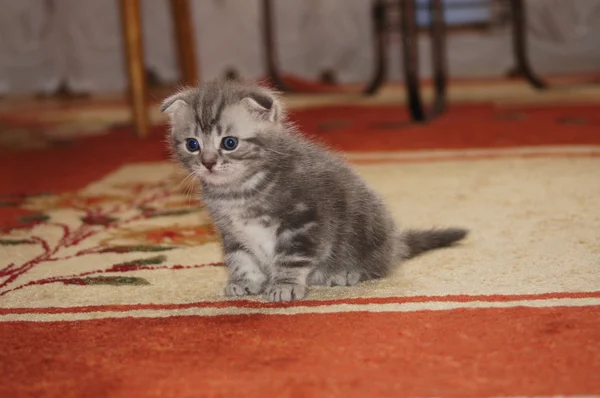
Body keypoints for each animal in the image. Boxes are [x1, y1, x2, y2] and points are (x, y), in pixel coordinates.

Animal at [161, 79, 468, 302]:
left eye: (229, 142)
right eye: (192, 144)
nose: (208, 163)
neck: (240, 190)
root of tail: (395, 244)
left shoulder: (303, 221)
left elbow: (292, 258)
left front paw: (284, 286)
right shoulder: (231, 232)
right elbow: (240, 257)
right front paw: (244, 282)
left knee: (378, 266)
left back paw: (345, 273)